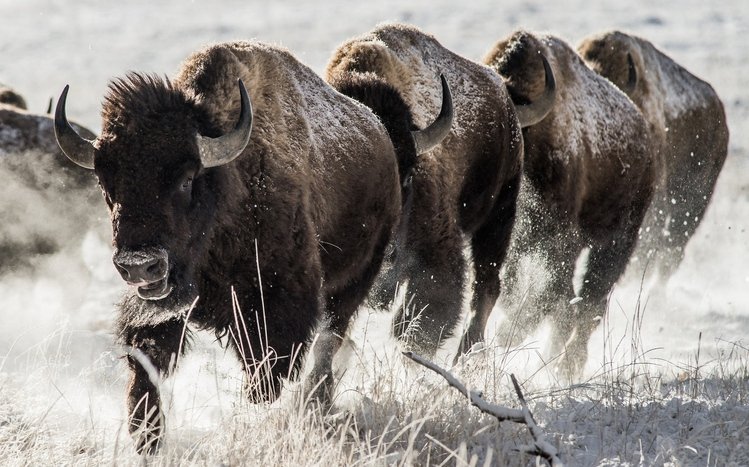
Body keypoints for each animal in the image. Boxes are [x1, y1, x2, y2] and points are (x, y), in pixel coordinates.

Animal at [54, 41, 448, 452]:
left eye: (187, 179)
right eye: (106, 181)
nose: (138, 264)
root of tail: (379, 132)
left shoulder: (277, 309)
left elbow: (268, 374)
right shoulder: (160, 310)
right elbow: (146, 366)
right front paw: (147, 439)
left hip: (353, 282)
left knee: (330, 341)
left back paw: (317, 403)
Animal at [326, 23, 554, 358]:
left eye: (408, 177)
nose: (389, 254)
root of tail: (504, 96)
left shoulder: (439, 250)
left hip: (499, 213)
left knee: (486, 286)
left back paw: (466, 356)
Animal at [484, 31, 656, 378]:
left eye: (508, 133)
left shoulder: (561, 240)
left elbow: (549, 296)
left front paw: (505, 338)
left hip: (619, 240)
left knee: (593, 299)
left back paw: (568, 364)